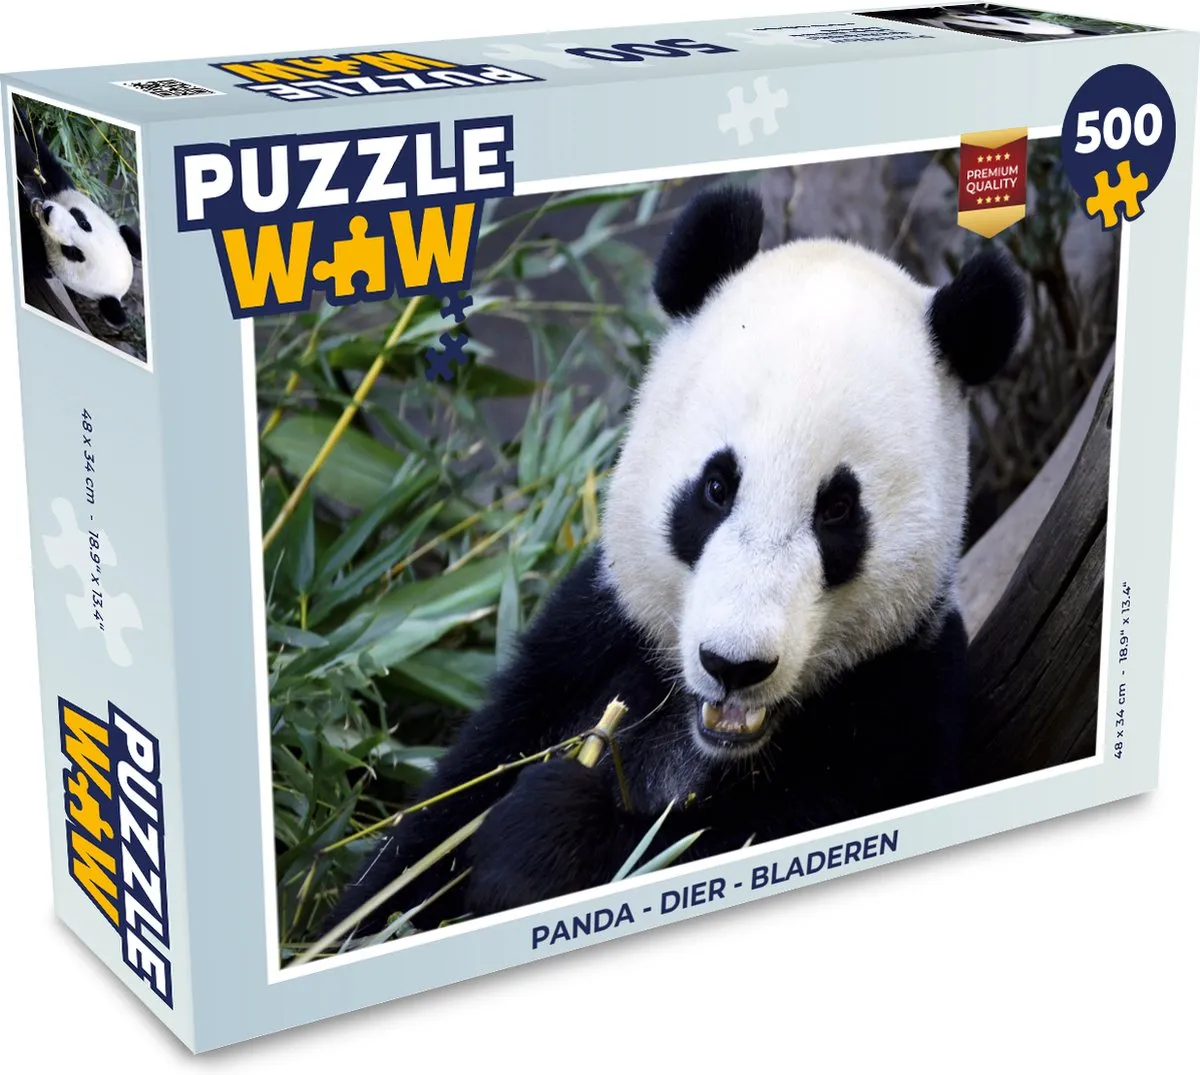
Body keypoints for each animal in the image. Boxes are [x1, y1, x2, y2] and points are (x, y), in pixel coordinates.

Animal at [12, 107, 141, 327]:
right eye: (83, 222)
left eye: (72, 252)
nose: (48, 212)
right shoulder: (57, 182)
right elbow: (36, 148)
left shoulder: (41, 265)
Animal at [331, 187, 1024, 933]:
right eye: (716, 488)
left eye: (838, 509)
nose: (735, 665)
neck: (706, 736)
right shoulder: (588, 642)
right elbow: (429, 833)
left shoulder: (900, 705)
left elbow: (702, 848)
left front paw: (545, 829)